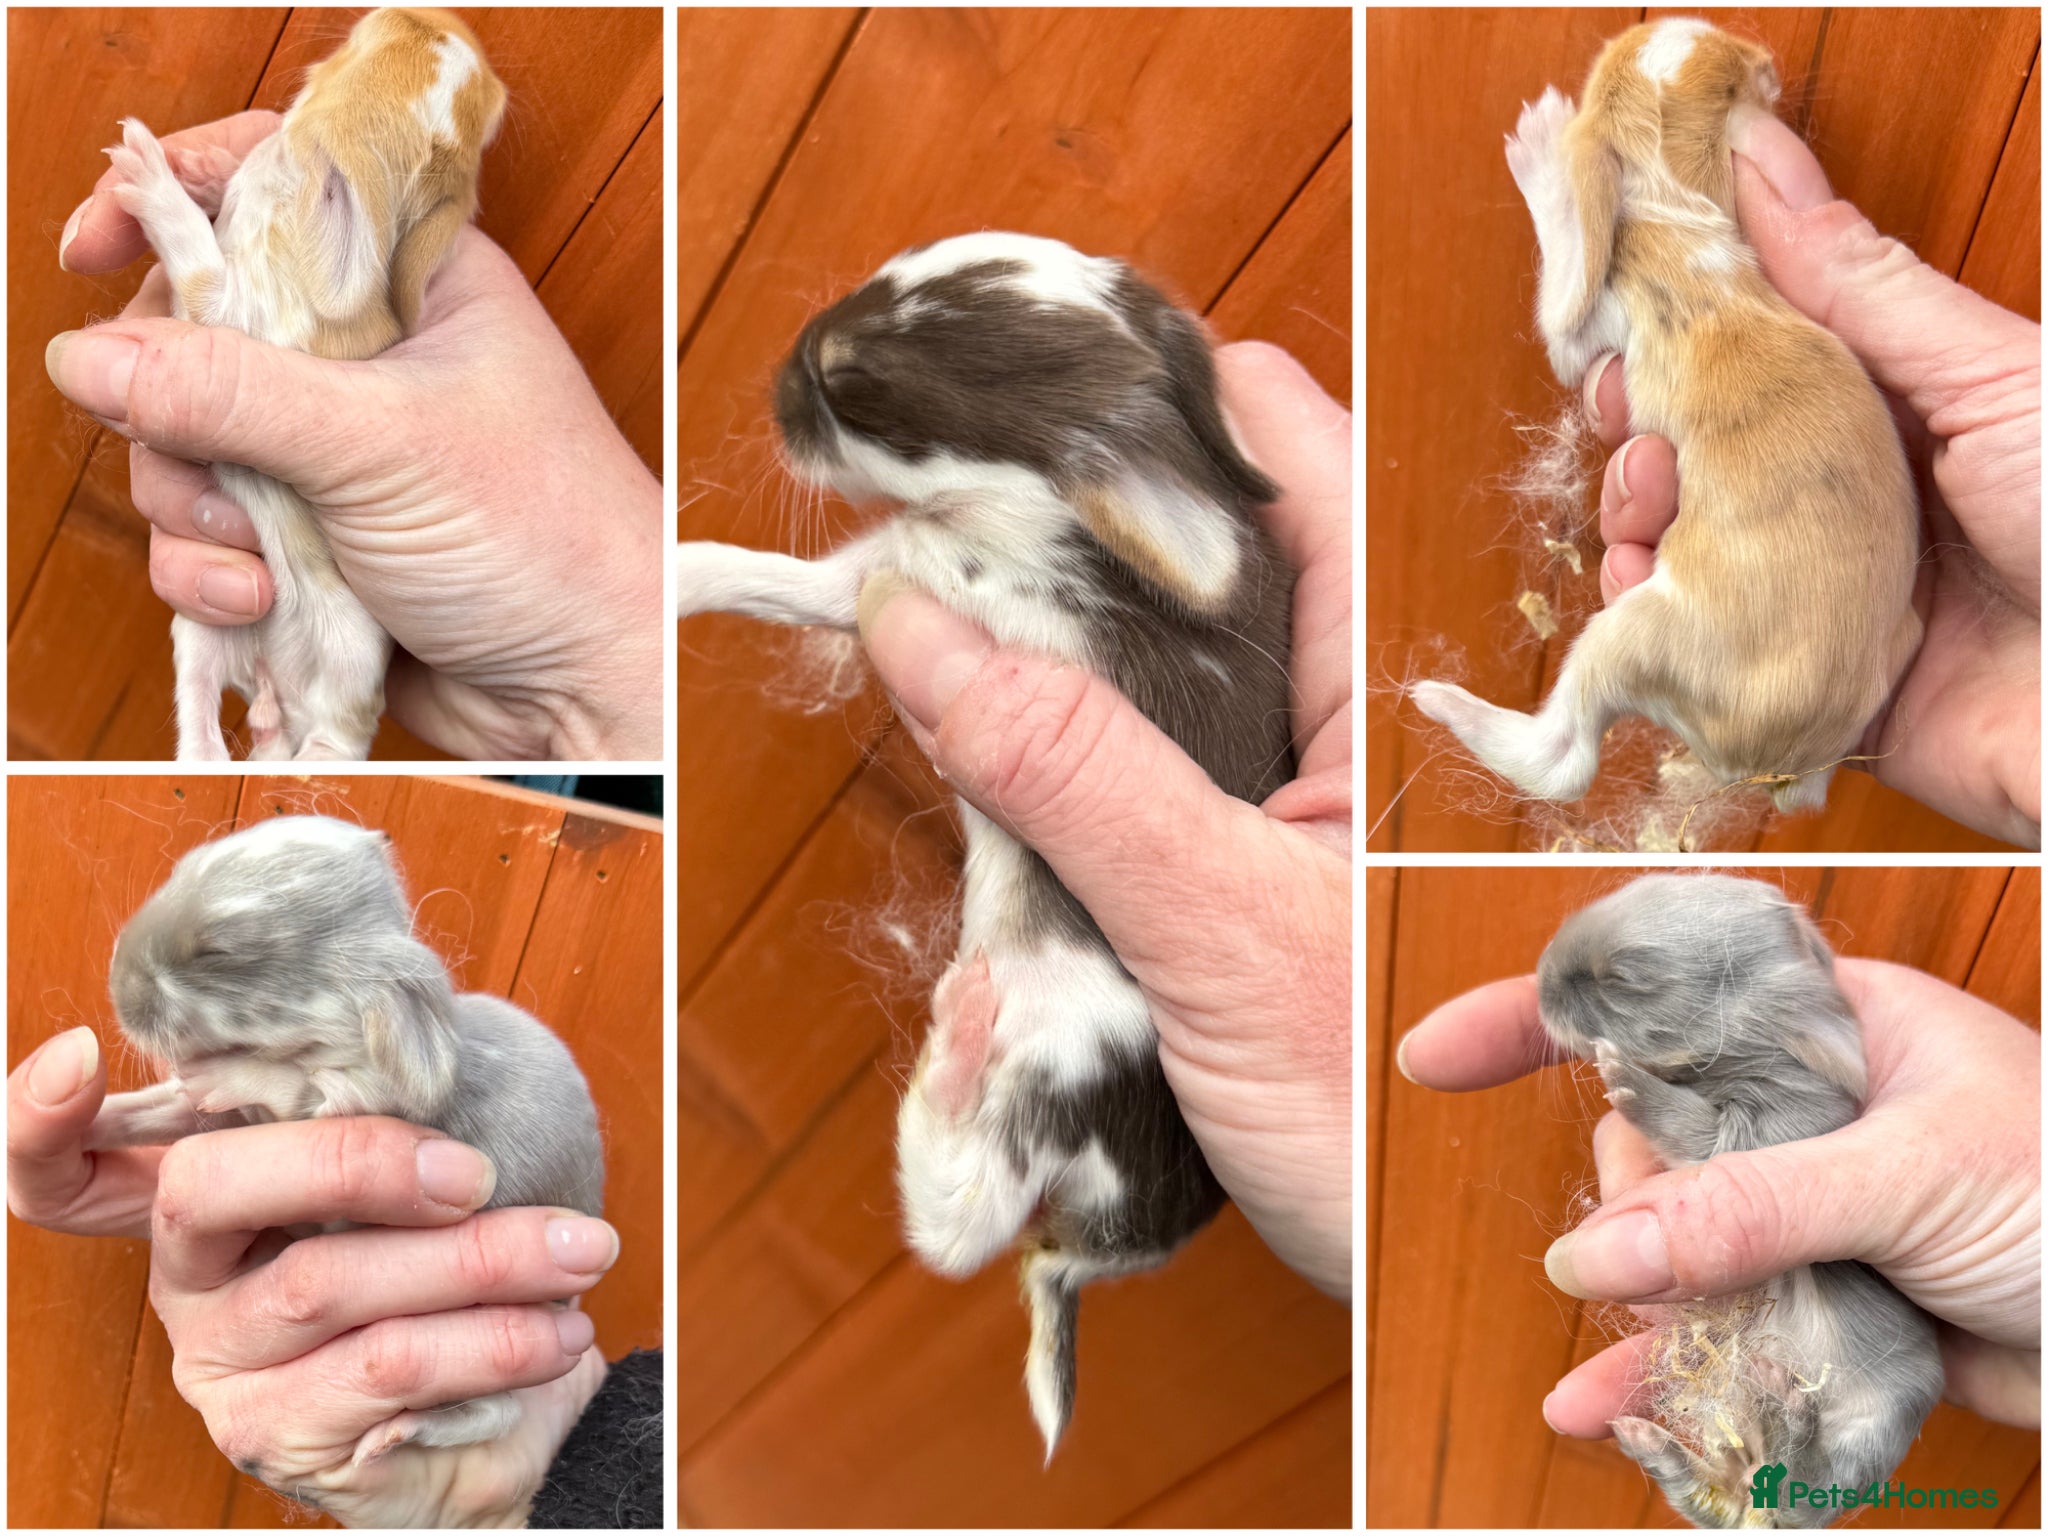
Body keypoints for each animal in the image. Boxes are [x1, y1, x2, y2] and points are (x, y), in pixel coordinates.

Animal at [87, 813, 604, 1466]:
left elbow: (290, 1087)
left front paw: (222, 1073)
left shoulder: (352, 1098)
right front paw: (83, 1115)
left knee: (500, 1411)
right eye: (180, 871)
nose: (117, 988)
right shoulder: (229, 1120)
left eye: (220, 950)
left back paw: (403, 1432)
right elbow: (154, 1110)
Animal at [93, 7, 506, 760]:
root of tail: (274, 689)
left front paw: (150, 169)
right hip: (201, 631)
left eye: (369, 48)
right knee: (204, 726)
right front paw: (200, 167)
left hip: (349, 671)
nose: (427, 15)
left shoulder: (232, 313)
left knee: (330, 736)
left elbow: (200, 270)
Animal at [676, 231, 1296, 1455]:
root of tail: (1134, 1229)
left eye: (852, 389)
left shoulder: (924, 586)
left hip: (1078, 1041)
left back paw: (959, 1029)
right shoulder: (892, 568)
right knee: (969, 1219)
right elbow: (778, 577)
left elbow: (810, 580)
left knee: (961, 1229)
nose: (772, 387)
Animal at [1411, 18, 1920, 817]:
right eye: (1731, 79)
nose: (1770, 63)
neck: (1668, 192)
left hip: (1633, 634)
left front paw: (1543, 140)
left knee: (1565, 759)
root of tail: (1783, 771)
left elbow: (1562, 303)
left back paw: (1441, 700)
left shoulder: (1590, 320)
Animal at [1537, 874, 1943, 1528]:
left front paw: (1632, 1086)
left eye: (1626, 978)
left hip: (1871, 1433)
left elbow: (1706, 1139)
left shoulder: (1797, 1116)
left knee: (1803, 1486)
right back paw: (1663, 1443)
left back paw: (1790, 1407)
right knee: (1724, 1484)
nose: (1540, 983)